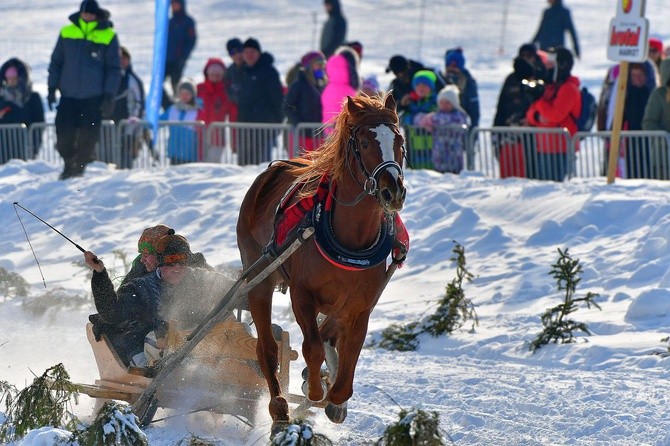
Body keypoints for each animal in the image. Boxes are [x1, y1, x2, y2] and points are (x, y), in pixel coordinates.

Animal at [239, 92, 412, 426]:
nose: (393, 192)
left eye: (399, 140)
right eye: (365, 143)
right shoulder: (303, 295)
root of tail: (274, 170)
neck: (351, 238)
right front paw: (315, 388)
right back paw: (279, 403)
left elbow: (347, 365)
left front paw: (333, 398)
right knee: (266, 348)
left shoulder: (359, 306)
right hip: (260, 274)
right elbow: (312, 347)